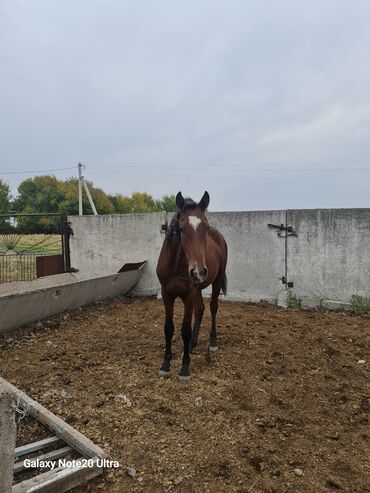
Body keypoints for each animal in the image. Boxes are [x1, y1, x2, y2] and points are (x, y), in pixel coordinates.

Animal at [155, 191, 227, 380]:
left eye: (206, 228)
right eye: (181, 228)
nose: (198, 271)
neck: (175, 266)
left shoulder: (188, 295)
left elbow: (185, 329)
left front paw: (184, 368)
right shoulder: (167, 295)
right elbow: (168, 327)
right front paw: (165, 365)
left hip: (215, 281)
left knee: (213, 307)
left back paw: (212, 342)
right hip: (198, 288)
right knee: (200, 310)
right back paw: (192, 344)